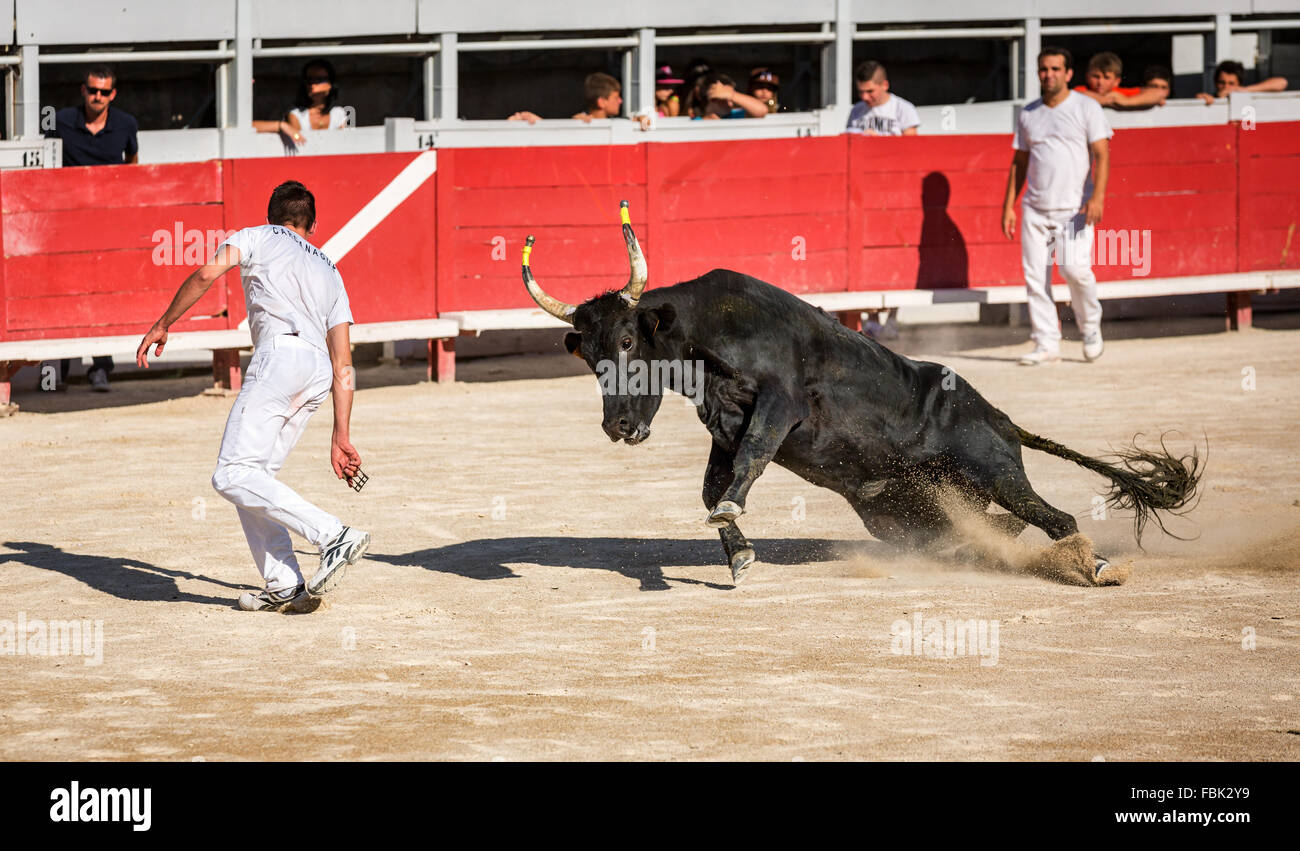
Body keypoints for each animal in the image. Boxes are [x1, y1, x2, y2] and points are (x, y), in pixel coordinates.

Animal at [520, 209, 1196, 587]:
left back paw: (1098, 568)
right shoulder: (723, 427)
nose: (619, 426)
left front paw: (734, 526)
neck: (709, 336)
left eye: (628, 339)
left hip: (995, 472)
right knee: (976, 530)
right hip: (899, 512)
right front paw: (739, 556)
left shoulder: (779, 408)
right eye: (588, 356)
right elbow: (714, 490)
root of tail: (1002, 418)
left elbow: (746, 466)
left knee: (1056, 519)